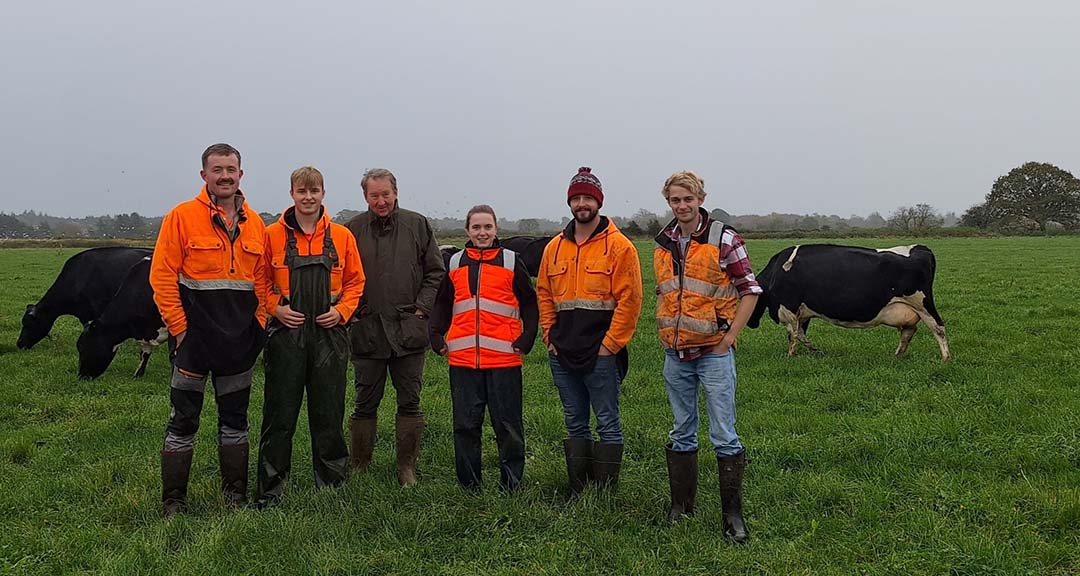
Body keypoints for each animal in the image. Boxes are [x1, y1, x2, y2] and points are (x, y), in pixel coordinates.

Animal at [747, 242, 950, 358]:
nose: (750, 323)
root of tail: (922, 249)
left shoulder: (788, 308)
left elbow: (792, 335)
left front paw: (791, 355)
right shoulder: (802, 312)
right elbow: (801, 334)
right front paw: (815, 351)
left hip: (922, 303)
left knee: (938, 327)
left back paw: (946, 358)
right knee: (909, 330)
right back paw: (898, 355)